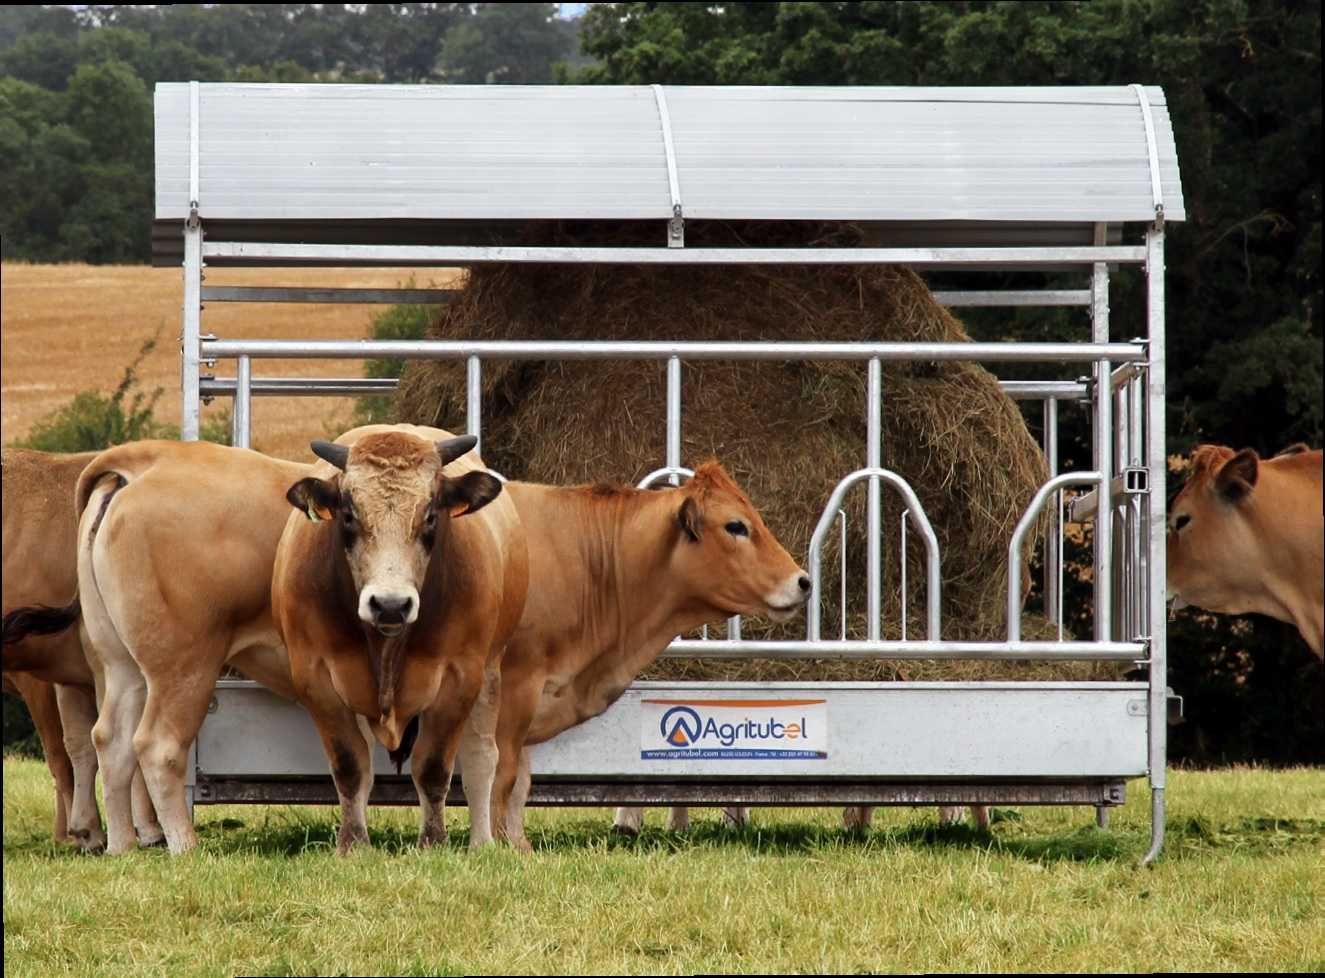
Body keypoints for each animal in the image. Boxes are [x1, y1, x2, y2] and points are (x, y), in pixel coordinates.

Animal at [271, 426, 524, 853]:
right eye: (349, 515)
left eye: (431, 515)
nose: (390, 604)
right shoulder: (316, 679)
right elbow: (350, 766)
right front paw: (353, 844)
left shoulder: (459, 679)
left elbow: (434, 768)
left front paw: (433, 842)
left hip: (490, 674)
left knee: (481, 760)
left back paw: (481, 842)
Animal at [477, 455, 805, 848]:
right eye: (736, 525)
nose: (803, 581)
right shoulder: (517, 684)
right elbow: (502, 772)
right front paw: (497, 844)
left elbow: (520, 781)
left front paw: (519, 844)